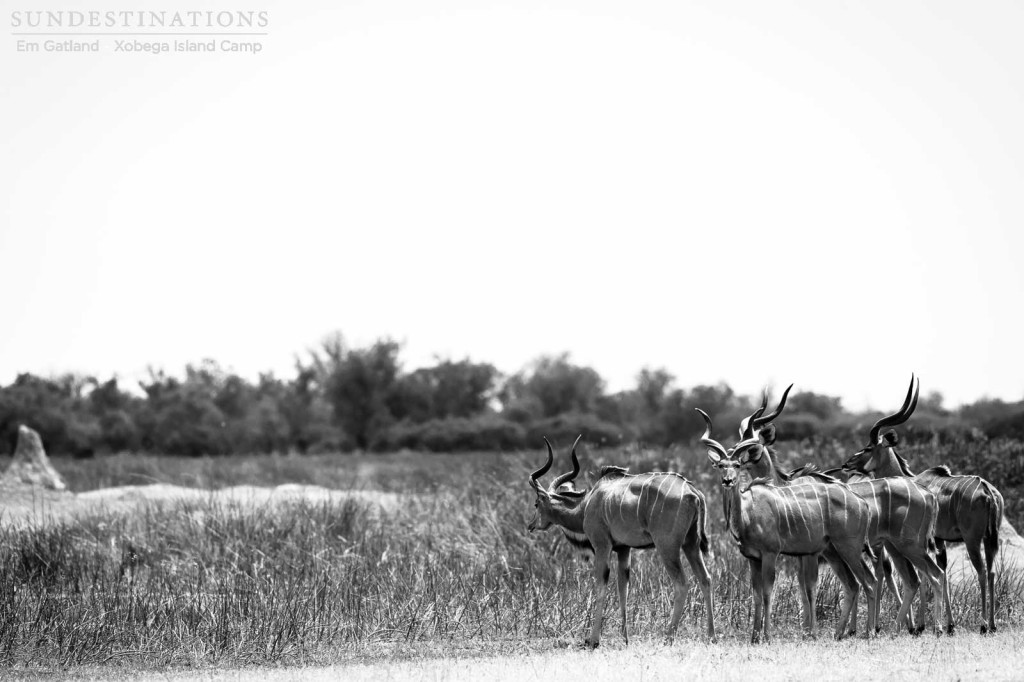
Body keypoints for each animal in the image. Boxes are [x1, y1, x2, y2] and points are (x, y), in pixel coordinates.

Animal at [528, 436, 712, 643]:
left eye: (536, 504)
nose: (531, 526)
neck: (587, 505)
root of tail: (692, 491)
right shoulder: (624, 549)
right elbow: (623, 588)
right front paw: (625, 638)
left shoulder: (602, 546)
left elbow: (601, 586)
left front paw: (593, 640)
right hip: (691, 544)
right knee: (705, 578)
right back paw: (711, 635)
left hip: (667, 547)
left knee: (682, 584)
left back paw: (668, 637)